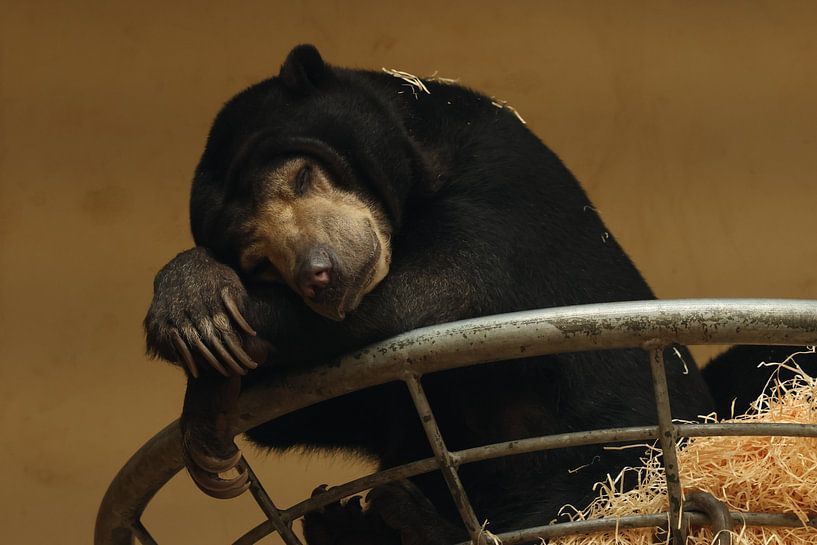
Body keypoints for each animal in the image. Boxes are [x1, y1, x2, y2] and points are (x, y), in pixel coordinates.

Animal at [143, 44, 715, 544]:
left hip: (622, 454)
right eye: (259, 260)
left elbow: (433, 288)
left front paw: (200, 345)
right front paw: (202, 344)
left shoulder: (495, 185)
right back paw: (344, 524)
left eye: (303, 177)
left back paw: (405, 519)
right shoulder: (385, 402)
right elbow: (317, 409)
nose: (319, 275)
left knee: (563, 502)